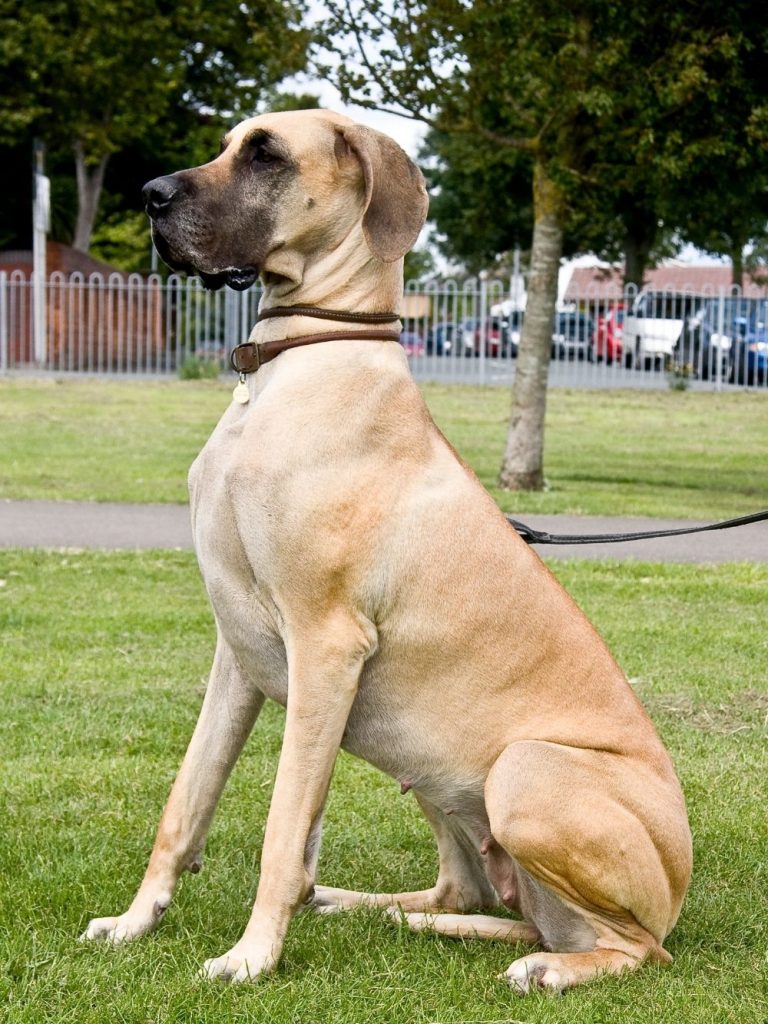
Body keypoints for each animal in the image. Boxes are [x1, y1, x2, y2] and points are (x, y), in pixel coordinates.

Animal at [81, 110, 696, 991]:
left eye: (265, 153)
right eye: (230, 142)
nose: (151, 195)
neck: (295, 359)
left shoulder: (325, 648)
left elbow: (282, 828)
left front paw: (251, 957)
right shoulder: (239, 653)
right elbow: (185, 803)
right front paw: (135, 923)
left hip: (524, 771)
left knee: (635, 947)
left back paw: (549, 967)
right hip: (432, 767)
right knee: (475, 892)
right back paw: (383, 909)